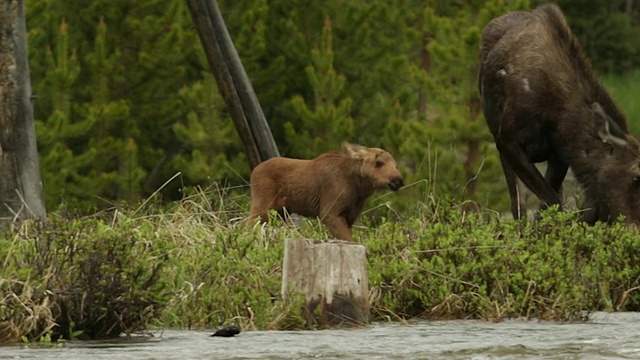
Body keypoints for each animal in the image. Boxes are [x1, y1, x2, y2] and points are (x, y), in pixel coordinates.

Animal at [248, 142, 402, 240]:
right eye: (378, 163)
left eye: (396, 165)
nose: (398, 180)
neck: (359, 189)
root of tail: (253, 172)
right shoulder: (329, 212)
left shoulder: (350, 216)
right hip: (263, 205)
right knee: (249, 225)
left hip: (281, 212)